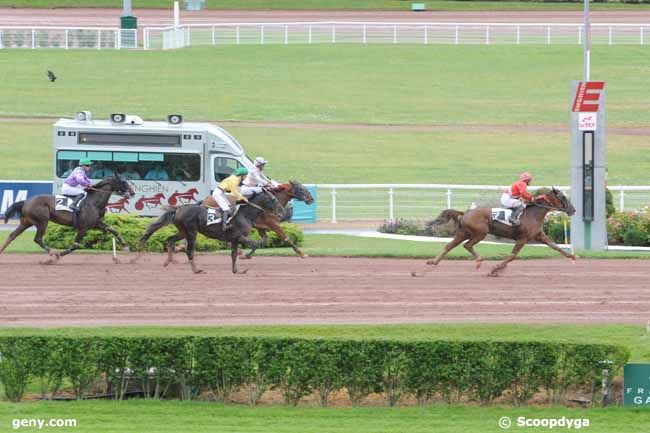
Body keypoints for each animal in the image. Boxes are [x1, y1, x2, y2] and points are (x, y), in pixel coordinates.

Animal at [428, 186, 576, 276]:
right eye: (563, 197)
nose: (573, 210)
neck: (533, 214)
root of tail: (466, 213)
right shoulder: (522, 239)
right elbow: (512, 256)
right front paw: (496, 268)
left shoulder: (540, 236)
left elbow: (555, 246)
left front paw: (572, 256)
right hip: (479, 233)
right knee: (467, 245)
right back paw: (479, 260)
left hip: (463, 233)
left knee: (449, 246)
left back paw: (433, 262)